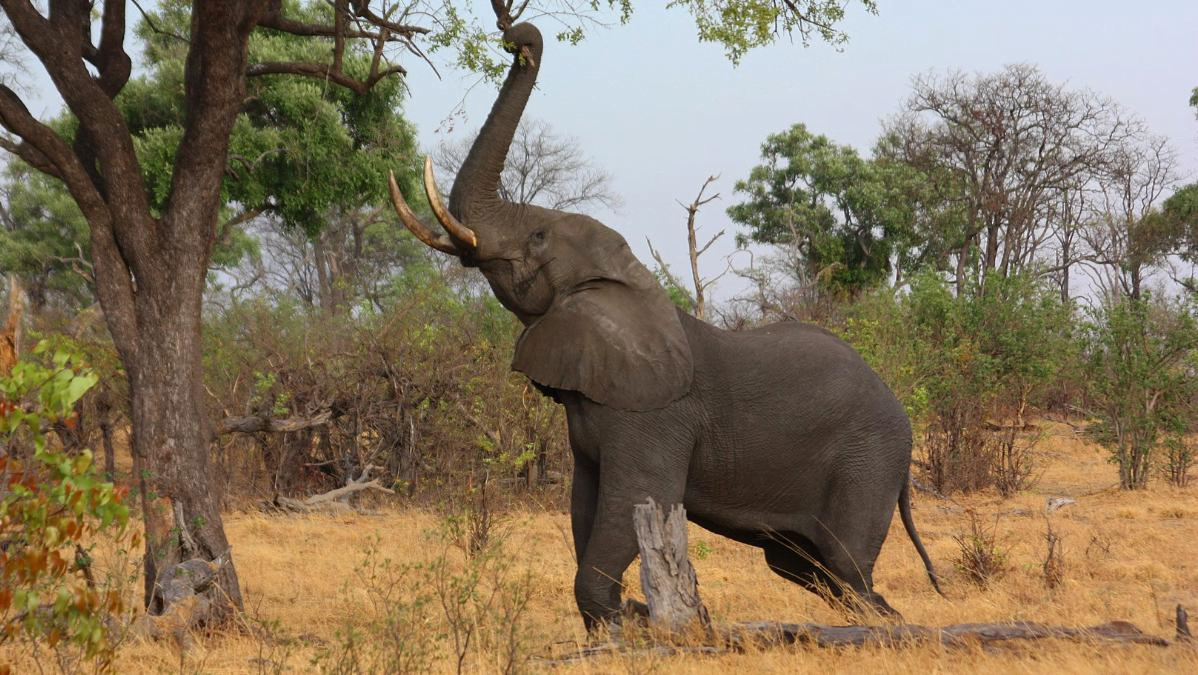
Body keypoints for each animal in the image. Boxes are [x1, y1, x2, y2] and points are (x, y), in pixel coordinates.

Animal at [388, 22, 939, 633]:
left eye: (537, 237)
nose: (519, 39)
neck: (624, 282)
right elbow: (585, 508)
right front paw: (627, 619)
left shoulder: (653, 418)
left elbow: (632, 501)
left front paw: (629, 619)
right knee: (810, 569)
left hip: (868, 460)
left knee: (847, 567)